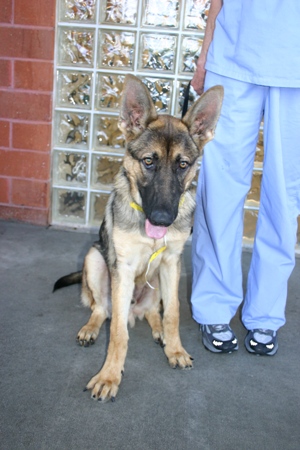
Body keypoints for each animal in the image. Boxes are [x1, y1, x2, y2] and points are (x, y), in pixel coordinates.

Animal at [53, 74, 223, 400]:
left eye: (183, 164)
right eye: (148, 161)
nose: (162, 219)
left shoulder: (171, 264)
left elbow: (173, 313)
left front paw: (175, 349)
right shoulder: (123, 269)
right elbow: (118, 331)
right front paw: (109, 376)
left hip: (157, 279)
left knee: (153, 311)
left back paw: (159, 332)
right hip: (95, 260)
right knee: (101, 309)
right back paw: (91, 328)